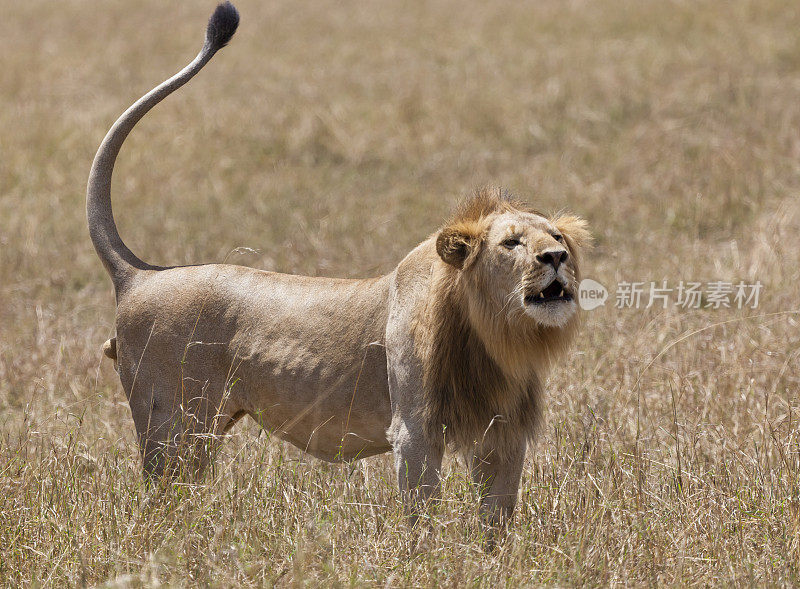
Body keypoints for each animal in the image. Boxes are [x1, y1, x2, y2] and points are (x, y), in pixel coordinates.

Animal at [87, 1, 592, 528]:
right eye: (512, 243)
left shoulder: (504, 434)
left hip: (201, 431)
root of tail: (140, 274)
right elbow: (422, 516)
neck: (495, 335)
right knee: (158, 497)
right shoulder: (414, 430)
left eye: (557, 238)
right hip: (172, 425)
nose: (555, 258)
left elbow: (496, 520)